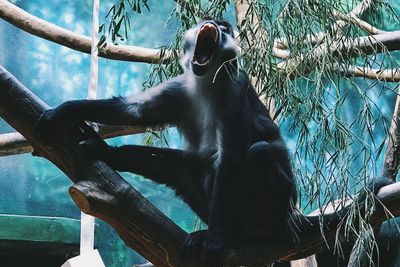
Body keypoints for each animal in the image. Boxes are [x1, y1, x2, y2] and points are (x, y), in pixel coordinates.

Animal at [37, 18, 298, 266]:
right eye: (206, 20)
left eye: (224, 29)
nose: (212, 24)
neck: (206, 83)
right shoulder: (179, 88)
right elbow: (134, 111)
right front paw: (65, 110)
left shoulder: (234, 90)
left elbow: (229, 157)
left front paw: (215, 239)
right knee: (179, 167)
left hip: (277, 208)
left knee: (260, 152)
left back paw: (242, 235)